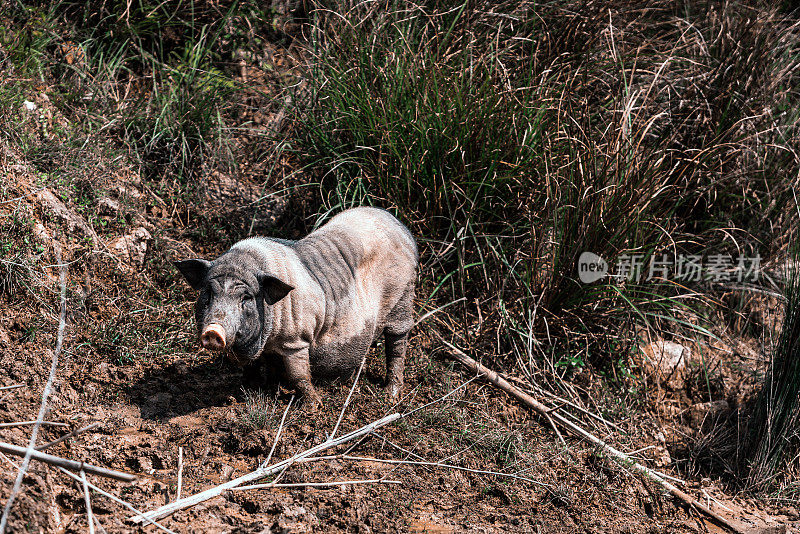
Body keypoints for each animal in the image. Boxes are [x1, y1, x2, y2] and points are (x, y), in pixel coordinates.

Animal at [174, 207, 418, 408]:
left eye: (246, 297)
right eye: (208, 293)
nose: (213, 331)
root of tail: (402, 228)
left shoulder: (296, 339)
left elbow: (298, 375)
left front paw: (313, 407)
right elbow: (252, 367)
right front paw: (247, 392)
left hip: (403, 296)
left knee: (397, 342)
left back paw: (390, 395)